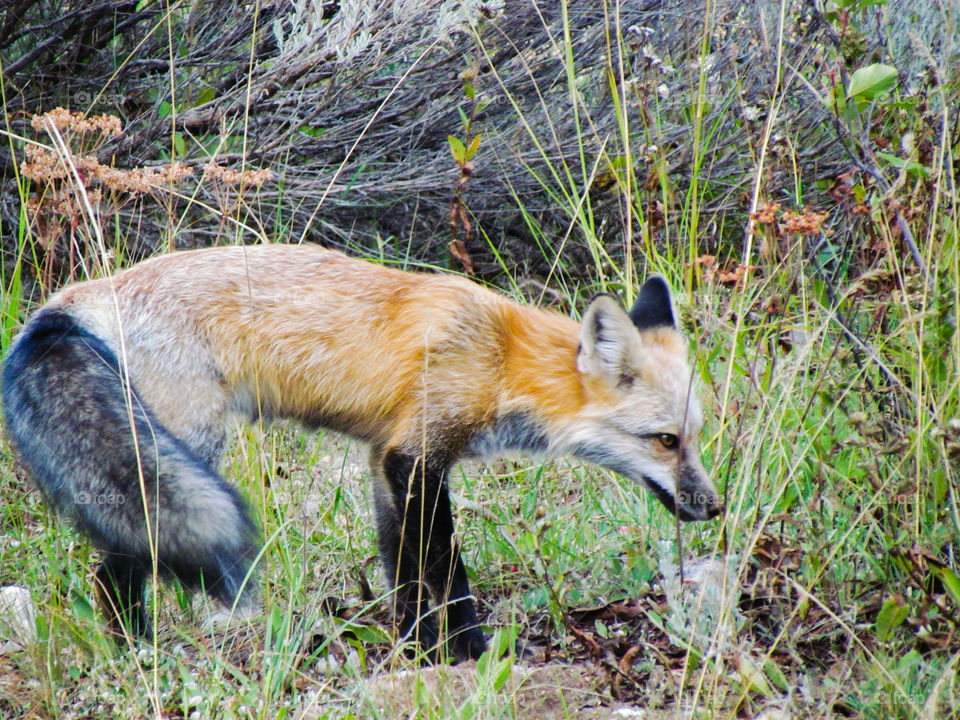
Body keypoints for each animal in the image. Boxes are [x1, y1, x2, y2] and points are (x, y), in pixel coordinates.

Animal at [1, 243, 720, 660]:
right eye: (665, 441)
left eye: (695, 437)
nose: (712, 508)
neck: (500, 358)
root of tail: (78, 297)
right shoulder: (417, 456)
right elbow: (445, 571)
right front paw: (468, 654)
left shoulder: (386, 461)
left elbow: (404, 572)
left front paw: (417, 654)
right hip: (183, 449)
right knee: (113, 572)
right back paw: (140, 655)